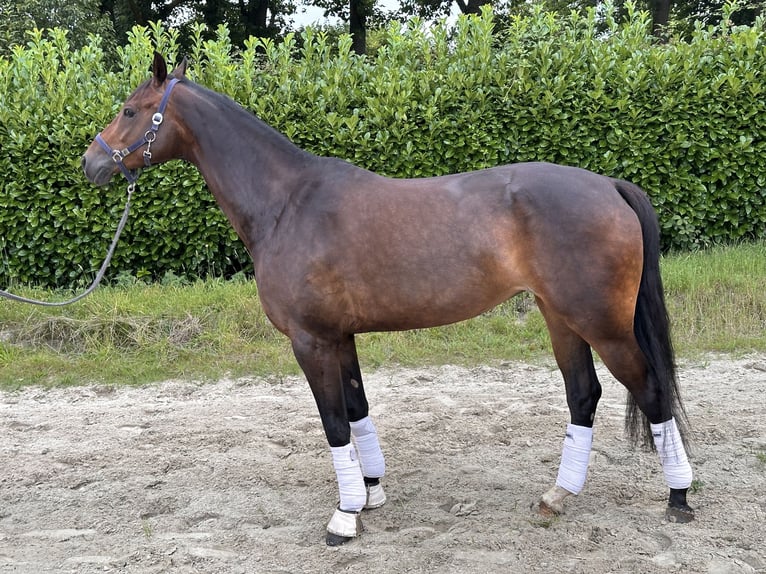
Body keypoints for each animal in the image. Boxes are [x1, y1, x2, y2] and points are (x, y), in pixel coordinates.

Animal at [82, 53, 696, 544]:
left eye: (131, 111)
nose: (91, 163)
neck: (287, 203)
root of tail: (609, 185)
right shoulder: (339, 336)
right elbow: (357, 410)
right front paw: (371, 493)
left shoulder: (311, 340)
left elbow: (333, 421)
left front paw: (344, 515)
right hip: (561, 318)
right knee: (583, 395)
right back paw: (558, 496)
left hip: (603, 324)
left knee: (651, 390)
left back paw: (679, 498)